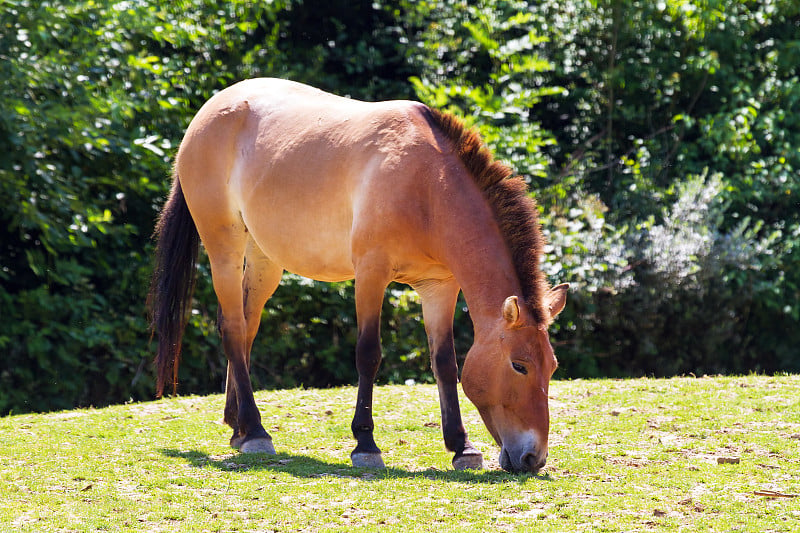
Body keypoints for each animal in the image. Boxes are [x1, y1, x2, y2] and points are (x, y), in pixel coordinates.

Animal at [150, 77, 568, 472]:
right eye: (519, 365)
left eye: (552, 366)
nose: (533, 458)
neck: (427, 186)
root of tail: (207, 113)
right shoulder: (371, 275)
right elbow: (369, 354)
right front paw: (365, 445)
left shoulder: (439, 287)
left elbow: (445, 363)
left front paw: (461, 447)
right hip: (225, 248)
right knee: (234, 328)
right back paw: (255, 432)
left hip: (264, 258)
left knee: (247, 328)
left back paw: (237, 427)